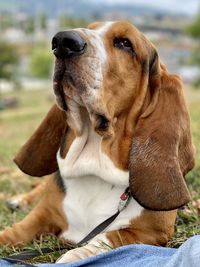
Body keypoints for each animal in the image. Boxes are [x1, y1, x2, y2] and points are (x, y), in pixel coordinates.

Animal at [0, 21, 195, 264]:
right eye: (89, 28)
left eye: (125, 43)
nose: (63, 42)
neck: (94, 167)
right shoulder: (41, 215)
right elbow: (12, 233)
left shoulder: (150, 233)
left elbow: (106, 238)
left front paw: (74, 255)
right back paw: (17, 200)